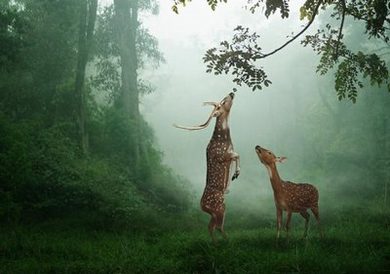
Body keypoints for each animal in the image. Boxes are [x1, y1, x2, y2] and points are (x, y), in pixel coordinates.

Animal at [174, 92, 241, 240]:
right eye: (222, 103)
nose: (231, 93)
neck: (224, 140)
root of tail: (202, 207)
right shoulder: (222, 156)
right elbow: (237, 156)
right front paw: (236, 174)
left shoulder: (230, 153)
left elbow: (237, 156)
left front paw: (232, 178)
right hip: (220, 207)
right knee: (217, 226)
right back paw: (227, 240)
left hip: (216, 211)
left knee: (211, 226)